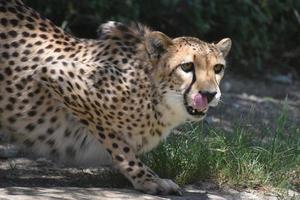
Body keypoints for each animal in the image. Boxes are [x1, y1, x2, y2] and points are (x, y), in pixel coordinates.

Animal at [0, 0, 232, 195]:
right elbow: (119, 144)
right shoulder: (55, 73)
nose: (209, 94)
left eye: (218, 68)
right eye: (187, 66)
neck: (156, 95)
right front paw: (148, 179)